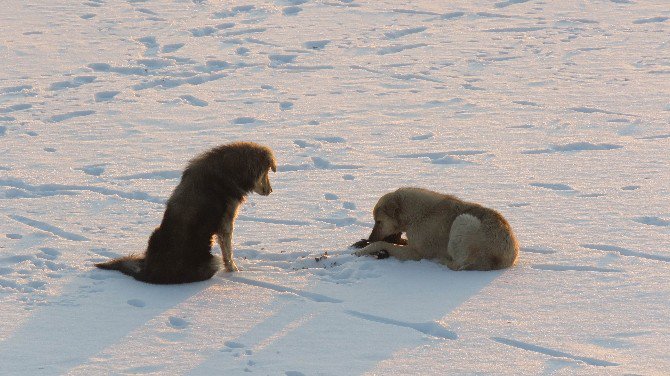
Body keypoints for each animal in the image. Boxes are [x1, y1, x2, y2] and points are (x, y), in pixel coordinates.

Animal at [356, 188, 520, 270]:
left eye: (378, 221)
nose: (369, 238)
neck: (417, 214)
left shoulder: (416, 253)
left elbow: (382, 243)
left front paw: (363, 250)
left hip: (463, 220)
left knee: (458, 265)